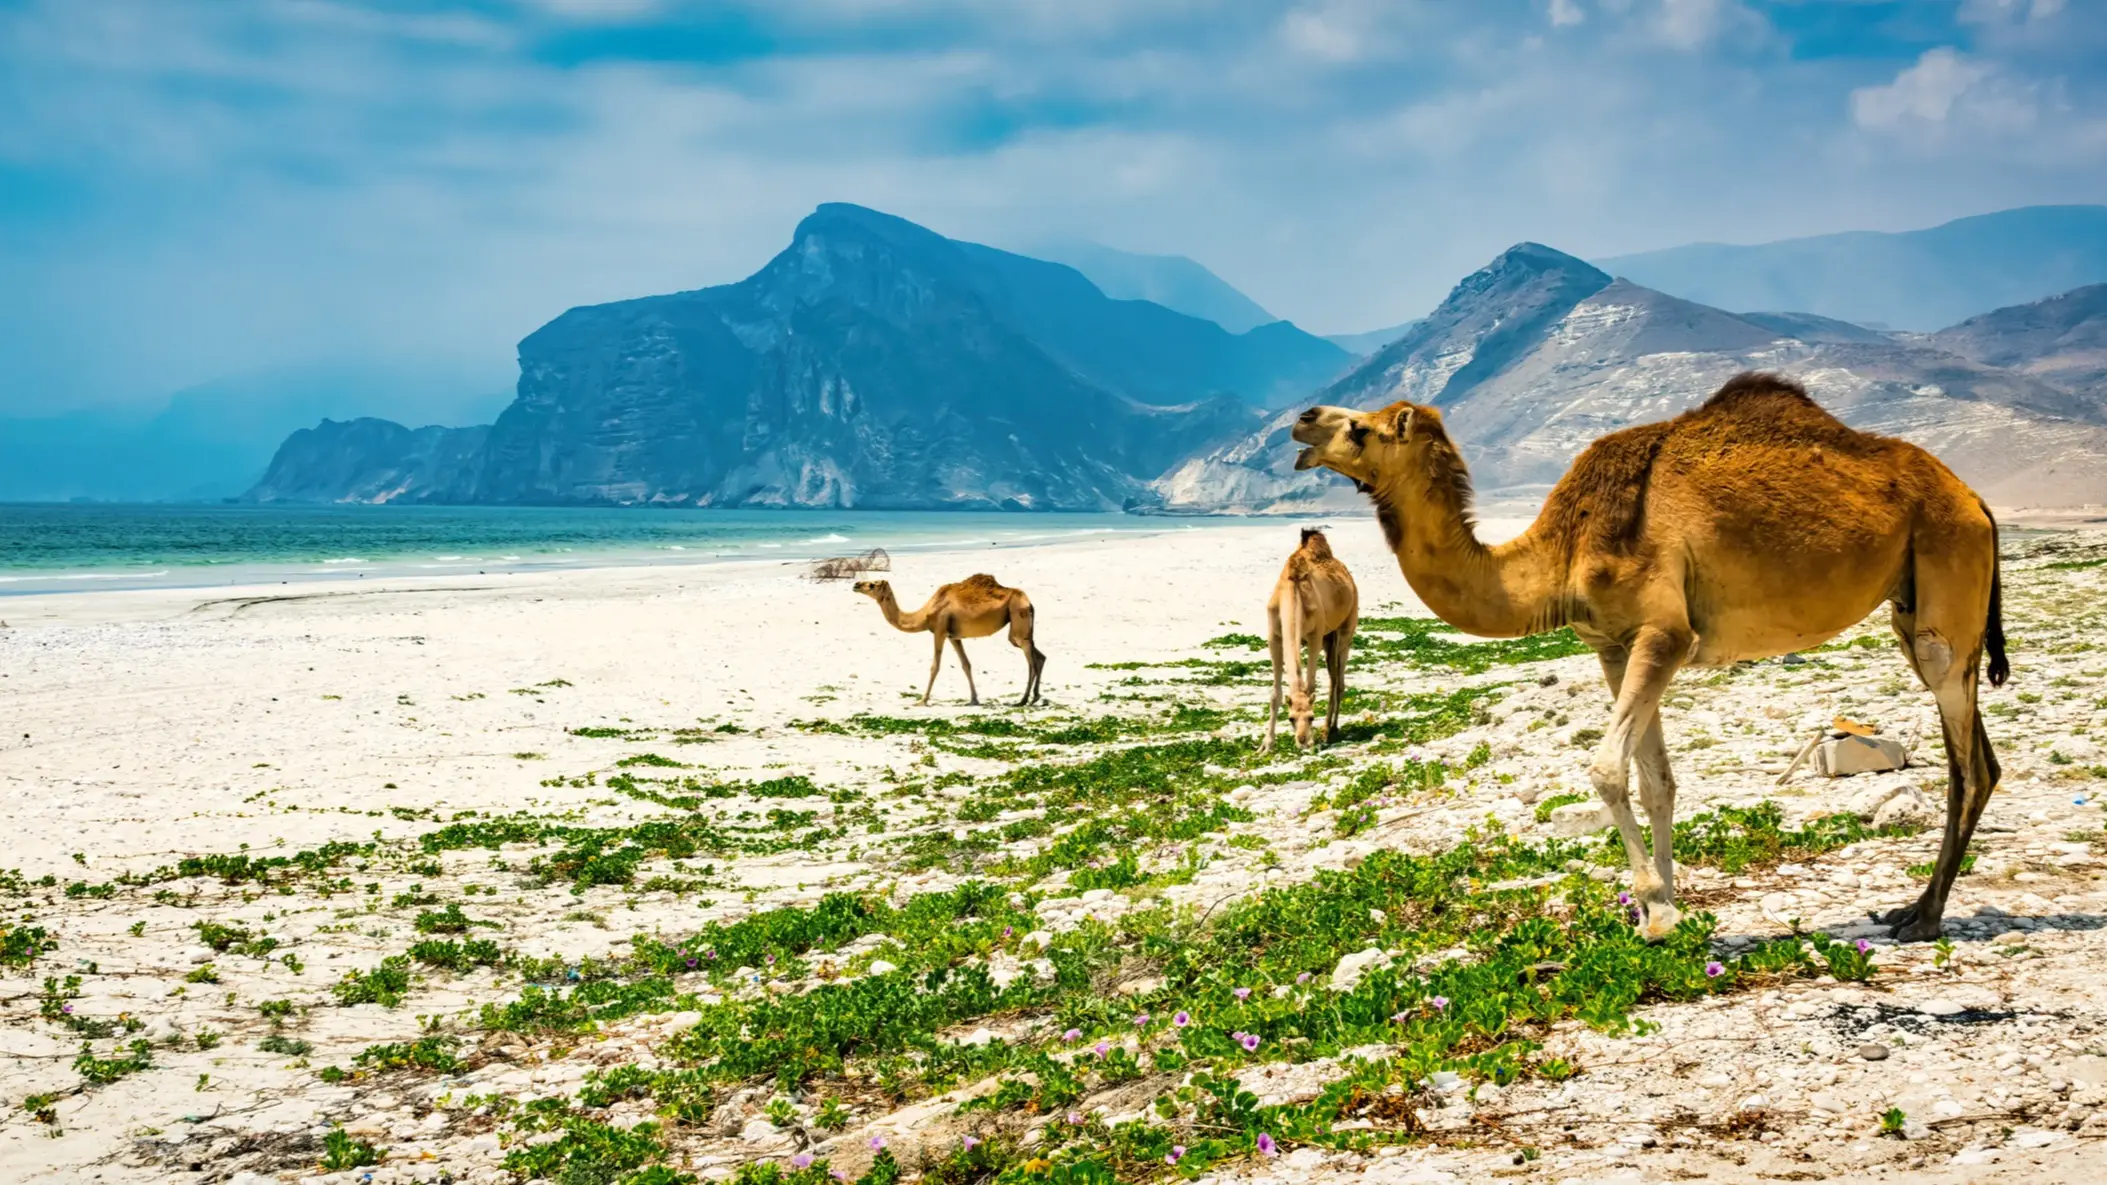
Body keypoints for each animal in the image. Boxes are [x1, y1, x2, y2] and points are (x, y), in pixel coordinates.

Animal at [851, 573, 1049, 704]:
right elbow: (966, 664)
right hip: (1022, 625)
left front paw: (922, 700)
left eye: (872, 584)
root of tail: (1029, 602)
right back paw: (1036, 696)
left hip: (1017, 617)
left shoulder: (939, 631)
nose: (856, 584)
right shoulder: (954, 636)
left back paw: (1023, 700)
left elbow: (935, 666)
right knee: (1039, 656)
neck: (924, 614)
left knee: (1030, 659)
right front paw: (974, 699)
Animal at [1255, 525, 1356, 746]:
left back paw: (1330, 728)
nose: (1301, 739)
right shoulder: (1274, 637)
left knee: (1339, 680)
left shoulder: (1314, 636)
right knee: (1334, 677)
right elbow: (1275, 693)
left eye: (1311, 717)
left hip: (1346, 628)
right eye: (1290, 718)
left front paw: (1312, 740)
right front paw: (1267, 744)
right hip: (1329, 638)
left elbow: (1309, 685)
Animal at [1281, 371, 2005, 940]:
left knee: (1967, 762)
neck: (1561, 551)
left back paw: (1925, 916)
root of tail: (1975, 498)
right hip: (1912, 603)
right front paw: (1671, 907)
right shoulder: (1614, 645)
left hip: (1946, 575)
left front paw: (1654, 911)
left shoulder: (1663, 633)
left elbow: (1606, 768)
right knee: (1980, 754)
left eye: (1362, 429)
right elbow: (1657, 781)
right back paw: (1912, 906)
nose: (1302, 418)